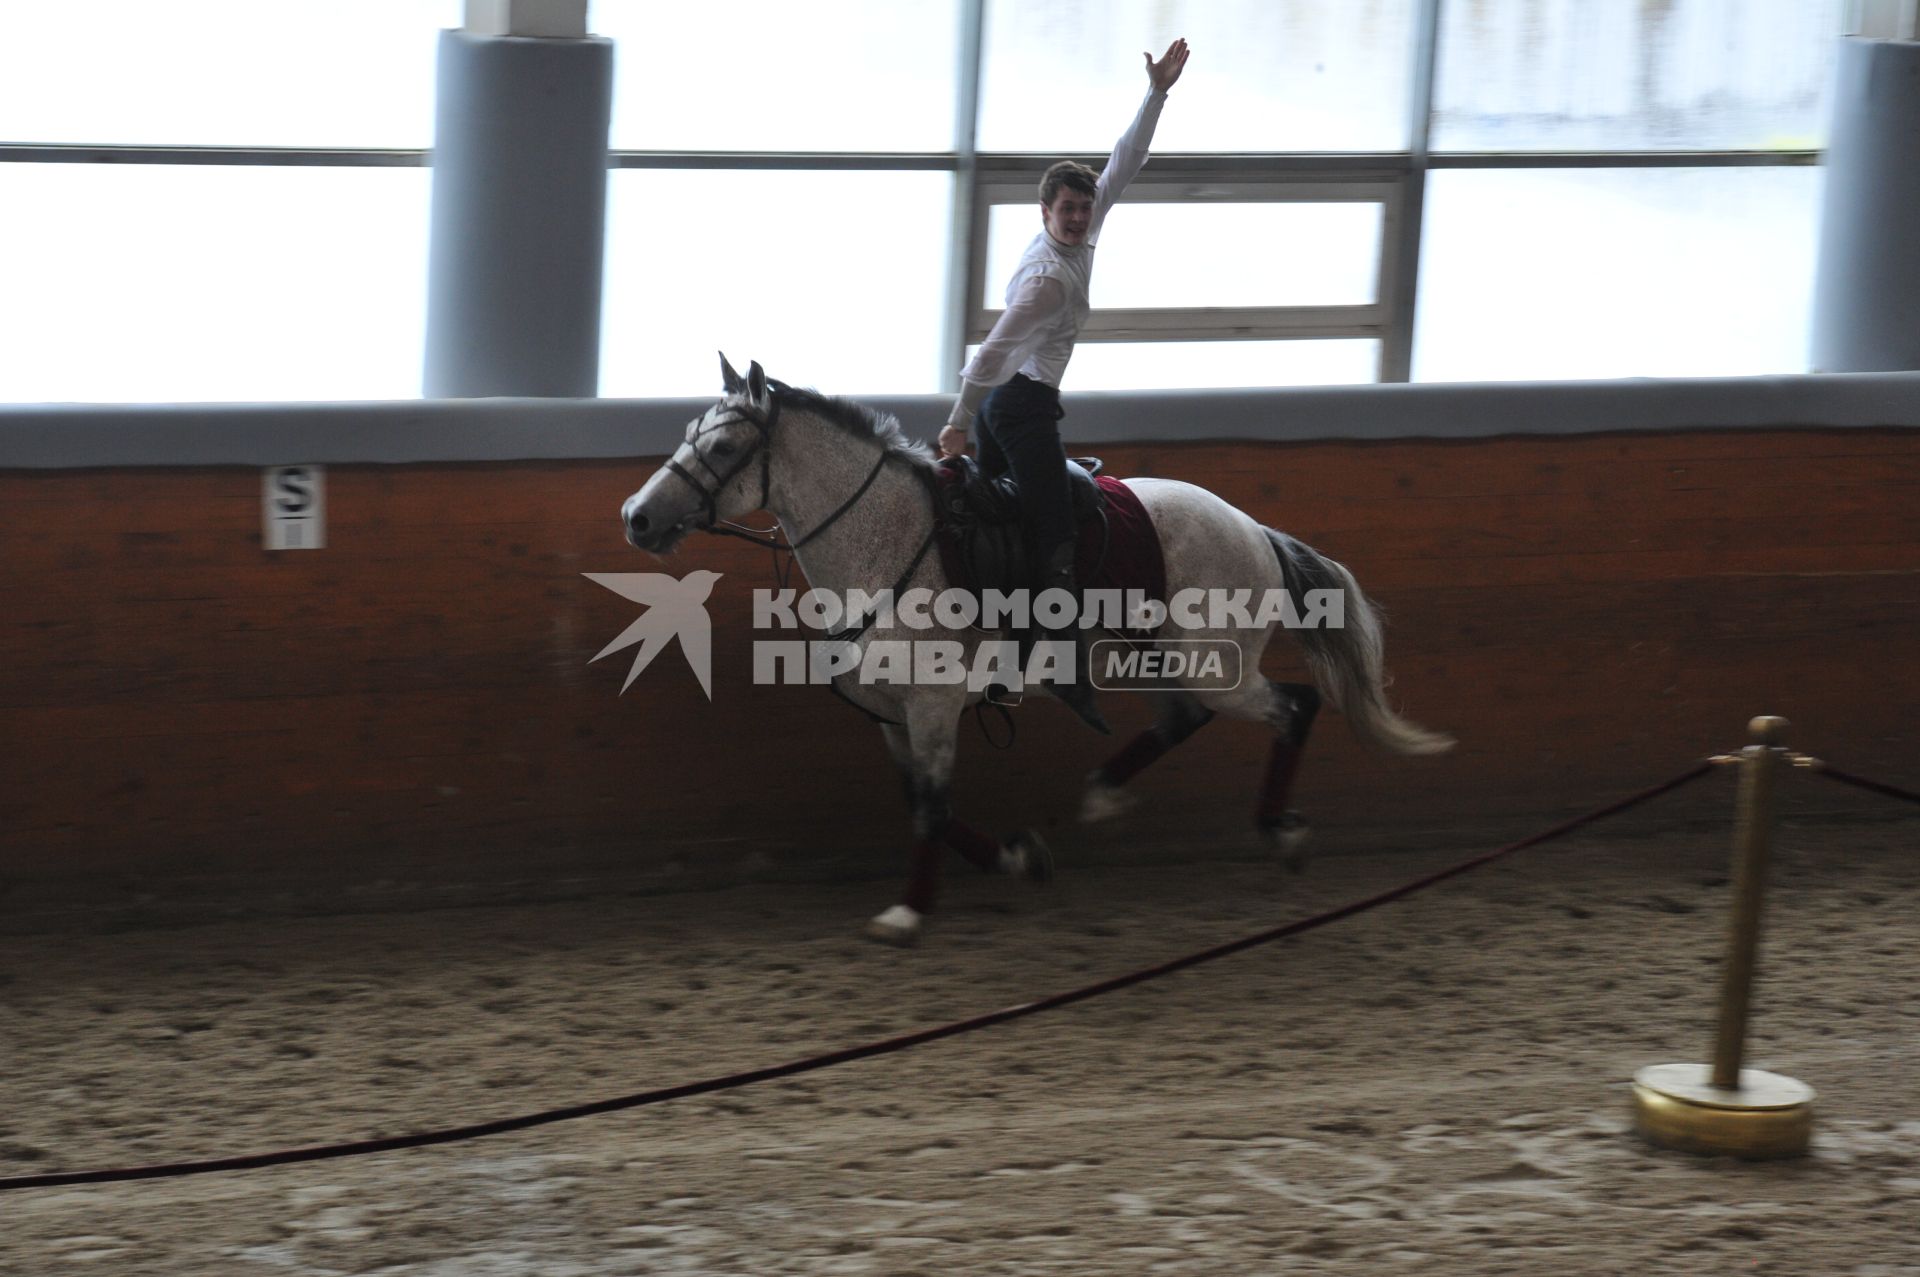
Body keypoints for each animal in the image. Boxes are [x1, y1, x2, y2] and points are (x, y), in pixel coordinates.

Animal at [622, 359, 1443, 944]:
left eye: (725, 444)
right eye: (691, 431)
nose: (637, 516)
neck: (888, 544)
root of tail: (1255, 531)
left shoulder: (931, 707)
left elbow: (933, 808)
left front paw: (907, 914)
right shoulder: (891, 714)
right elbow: (925, 805)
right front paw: (1020, 857)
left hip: (1221, 668)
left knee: (1293, 706)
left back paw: (1283, 831)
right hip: (1159, 658)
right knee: (1184, 720)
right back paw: (1105, 794)